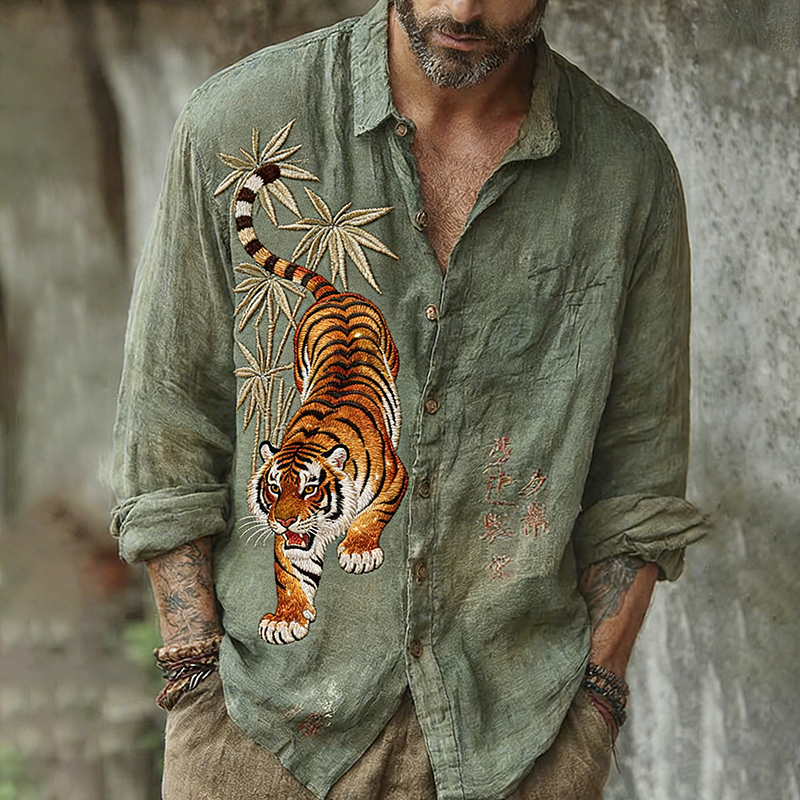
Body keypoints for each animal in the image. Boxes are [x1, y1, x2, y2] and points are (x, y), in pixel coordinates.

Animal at [236, 163, 408, 645]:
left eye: (311, 488)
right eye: (274, 489)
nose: (284, 522)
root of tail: (336, 294)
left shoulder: (395, 476)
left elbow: (373, 515)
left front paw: (358, 551)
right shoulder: (289, 539)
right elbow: (289, 570)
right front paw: (288, 618)